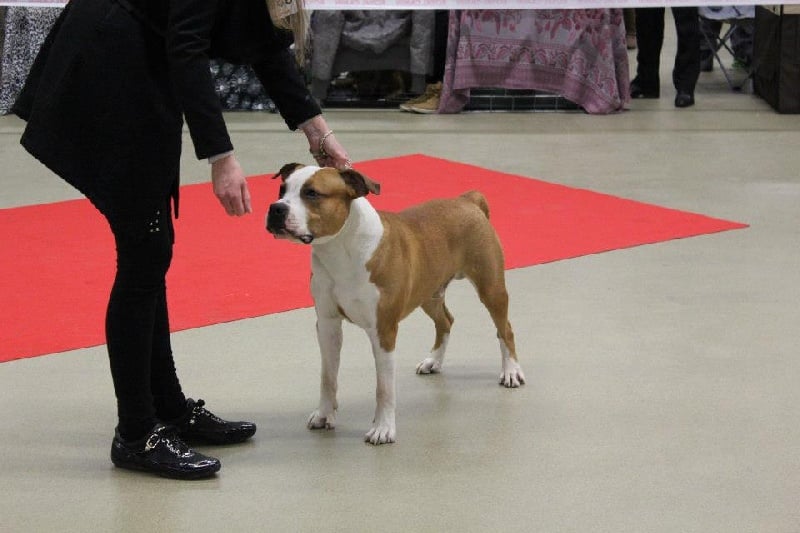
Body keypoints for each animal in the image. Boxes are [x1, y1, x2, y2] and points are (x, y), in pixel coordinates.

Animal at [266, 163, 525, 444]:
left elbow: (384, 388)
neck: (341, 248)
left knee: (505, 329)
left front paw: (383, 428)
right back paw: (433, 361)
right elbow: (328, 376)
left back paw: (511, 371)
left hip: (491, 287)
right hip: (428, 292)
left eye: (312, 193)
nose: (276, 208)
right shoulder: (327, 324)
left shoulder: (384, 330)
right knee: (445, 321)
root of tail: (468, 200)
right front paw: (324, 415)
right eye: (282, 189)